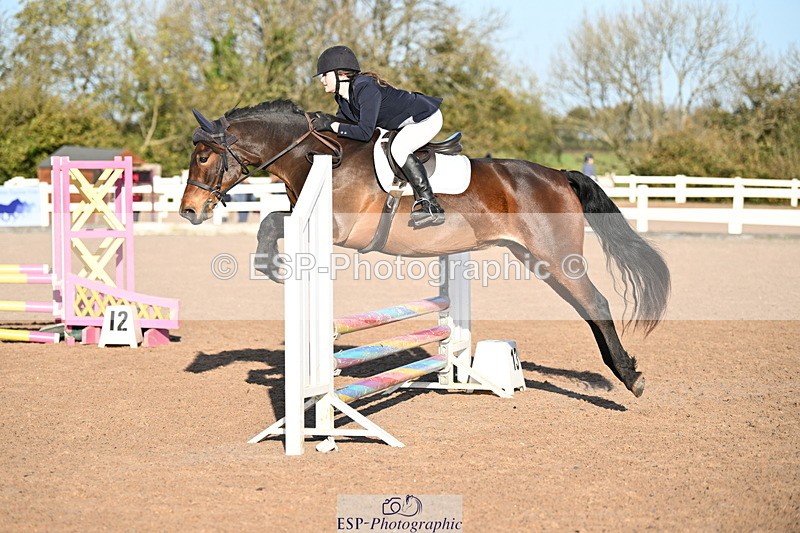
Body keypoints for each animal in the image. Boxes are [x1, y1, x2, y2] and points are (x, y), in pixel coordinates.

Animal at [179, 100, 670, 398]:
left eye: (203, 157)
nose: (188, 211)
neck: (317, 156)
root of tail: (558, 174)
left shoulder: (340, 227)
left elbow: (272, 220)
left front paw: (271, 265)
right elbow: (270, 220)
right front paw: (269, 264)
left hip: (556, 258)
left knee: (596, 304)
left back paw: (629, 377)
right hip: (532, 257)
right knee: (588, 306)